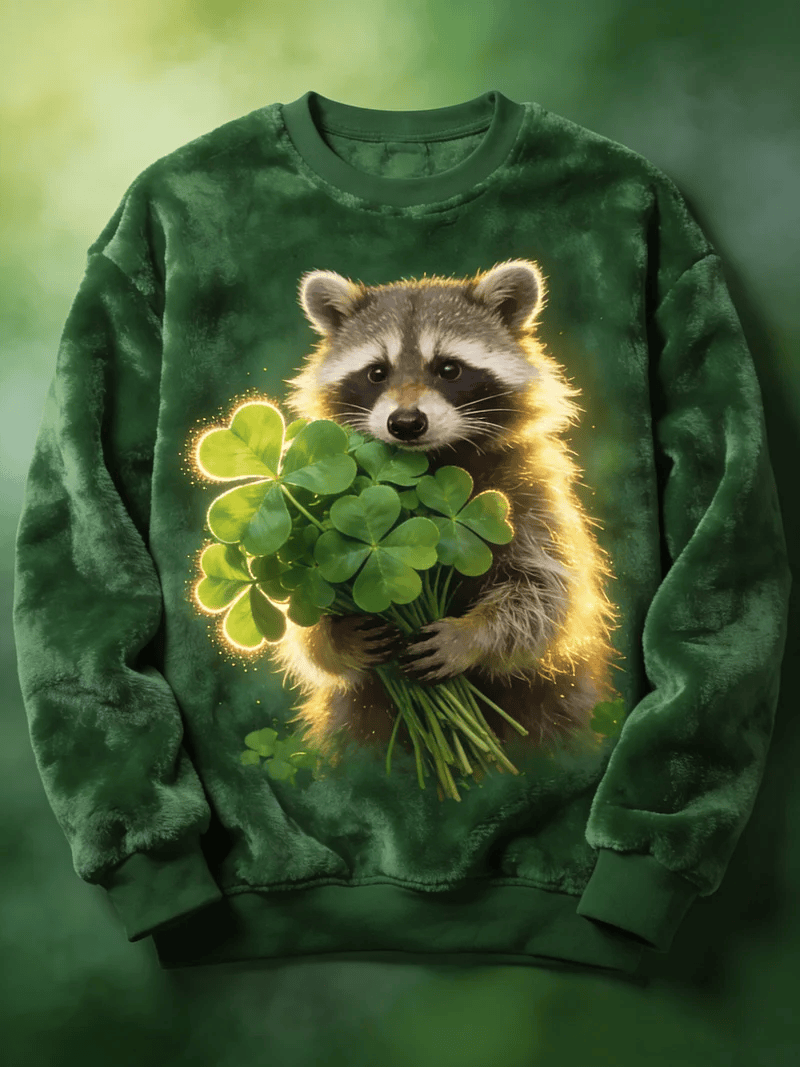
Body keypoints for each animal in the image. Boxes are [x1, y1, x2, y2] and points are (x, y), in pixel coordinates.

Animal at [269, 258, 623, 768]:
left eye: (449, 369)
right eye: (377, 373)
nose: (406, 423)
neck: (435, 462)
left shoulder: (534, 496)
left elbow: (548, 593)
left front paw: (472, 635)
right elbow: (301, 625)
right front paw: (336, 637)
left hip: (560, 702)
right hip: (355, 721)